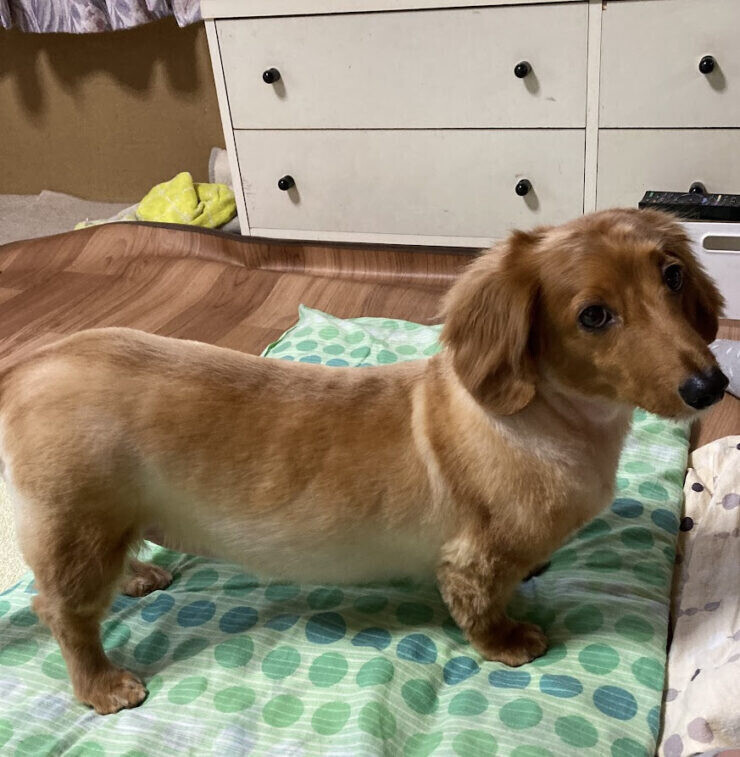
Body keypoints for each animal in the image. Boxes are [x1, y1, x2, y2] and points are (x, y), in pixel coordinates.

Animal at [0, 208, 726, 714]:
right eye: (594, 315)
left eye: (672, 274)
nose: (711, 387)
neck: (552, 420)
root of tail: (31, 364)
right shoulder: (472, 560)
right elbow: (482, 607)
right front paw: (509, 642)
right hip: (77, 528)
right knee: (61, 612)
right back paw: (102, 683)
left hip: (106, 522)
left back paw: (140, 575)